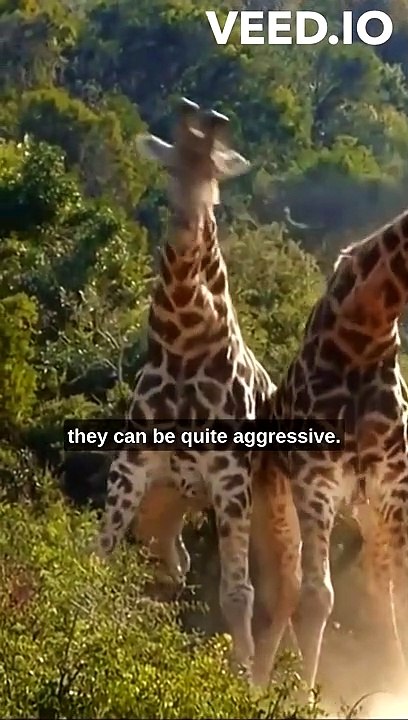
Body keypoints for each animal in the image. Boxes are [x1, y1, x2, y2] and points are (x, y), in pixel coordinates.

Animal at [93, 98, 302, 677]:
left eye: (213, 179)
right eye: (170, 171)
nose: (188, 230)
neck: (184, 347)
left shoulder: (230, 479)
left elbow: (237, 595)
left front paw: (237, 679)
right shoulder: (131, 466)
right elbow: (100, 555)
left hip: (275, 514)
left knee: (286, 593)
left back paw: (269, 682)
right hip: (165, 507)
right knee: (176, 564)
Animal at [255, 209, 408, 691]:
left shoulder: (393, 481)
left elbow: (400, 590)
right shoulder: (314, 480)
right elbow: (318, 596)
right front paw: (302, 698)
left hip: (366, 511)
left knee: (378, 590)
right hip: (278, 504)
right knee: (284, 589)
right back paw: (255, 685)